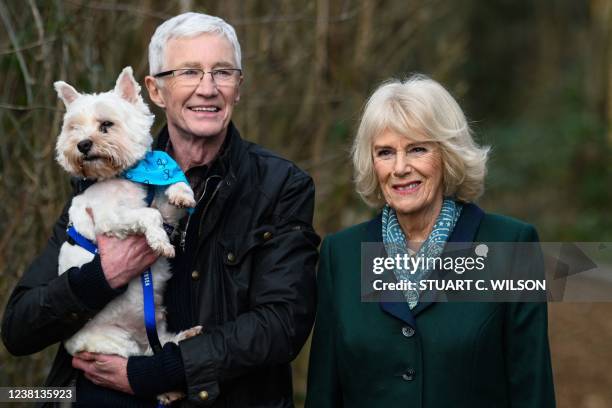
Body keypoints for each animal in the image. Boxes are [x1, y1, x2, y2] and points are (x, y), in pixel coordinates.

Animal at [53, 66, 200, 364]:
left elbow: (169, 195)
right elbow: (148, 215)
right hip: (116, 342)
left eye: (106, 125)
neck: (123, 174)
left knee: (163, 344)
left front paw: (182, 193)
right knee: (142, 357)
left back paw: (186, 335)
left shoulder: (163, 206)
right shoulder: (111, 218)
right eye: (74, 128)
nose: (82, 144)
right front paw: (160, 242)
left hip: (156, 328)